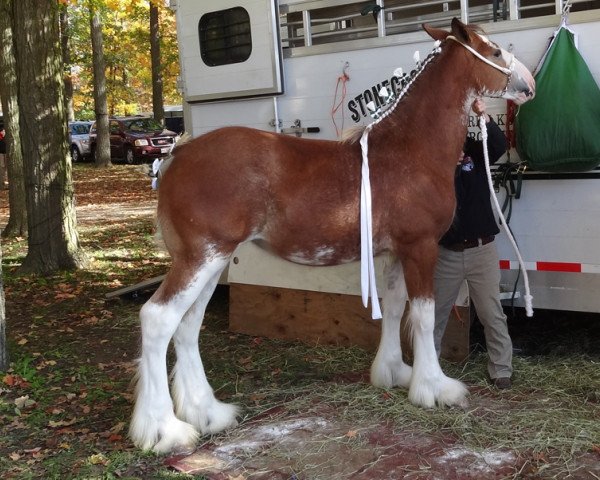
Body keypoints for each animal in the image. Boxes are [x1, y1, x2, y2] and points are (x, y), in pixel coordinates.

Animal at [130, 19, 536, 454]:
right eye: (494, 51)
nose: (529, 84)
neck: (409, 149)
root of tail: (176, 156)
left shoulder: (395, 252)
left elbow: (395, 308)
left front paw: (394, 372)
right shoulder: (420, 247)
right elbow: (424, 316)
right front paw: (434, 388)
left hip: (213, 260)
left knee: (188, 326)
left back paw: (207, 413)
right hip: (200, 257)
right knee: (158, 320)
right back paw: (164, 430)